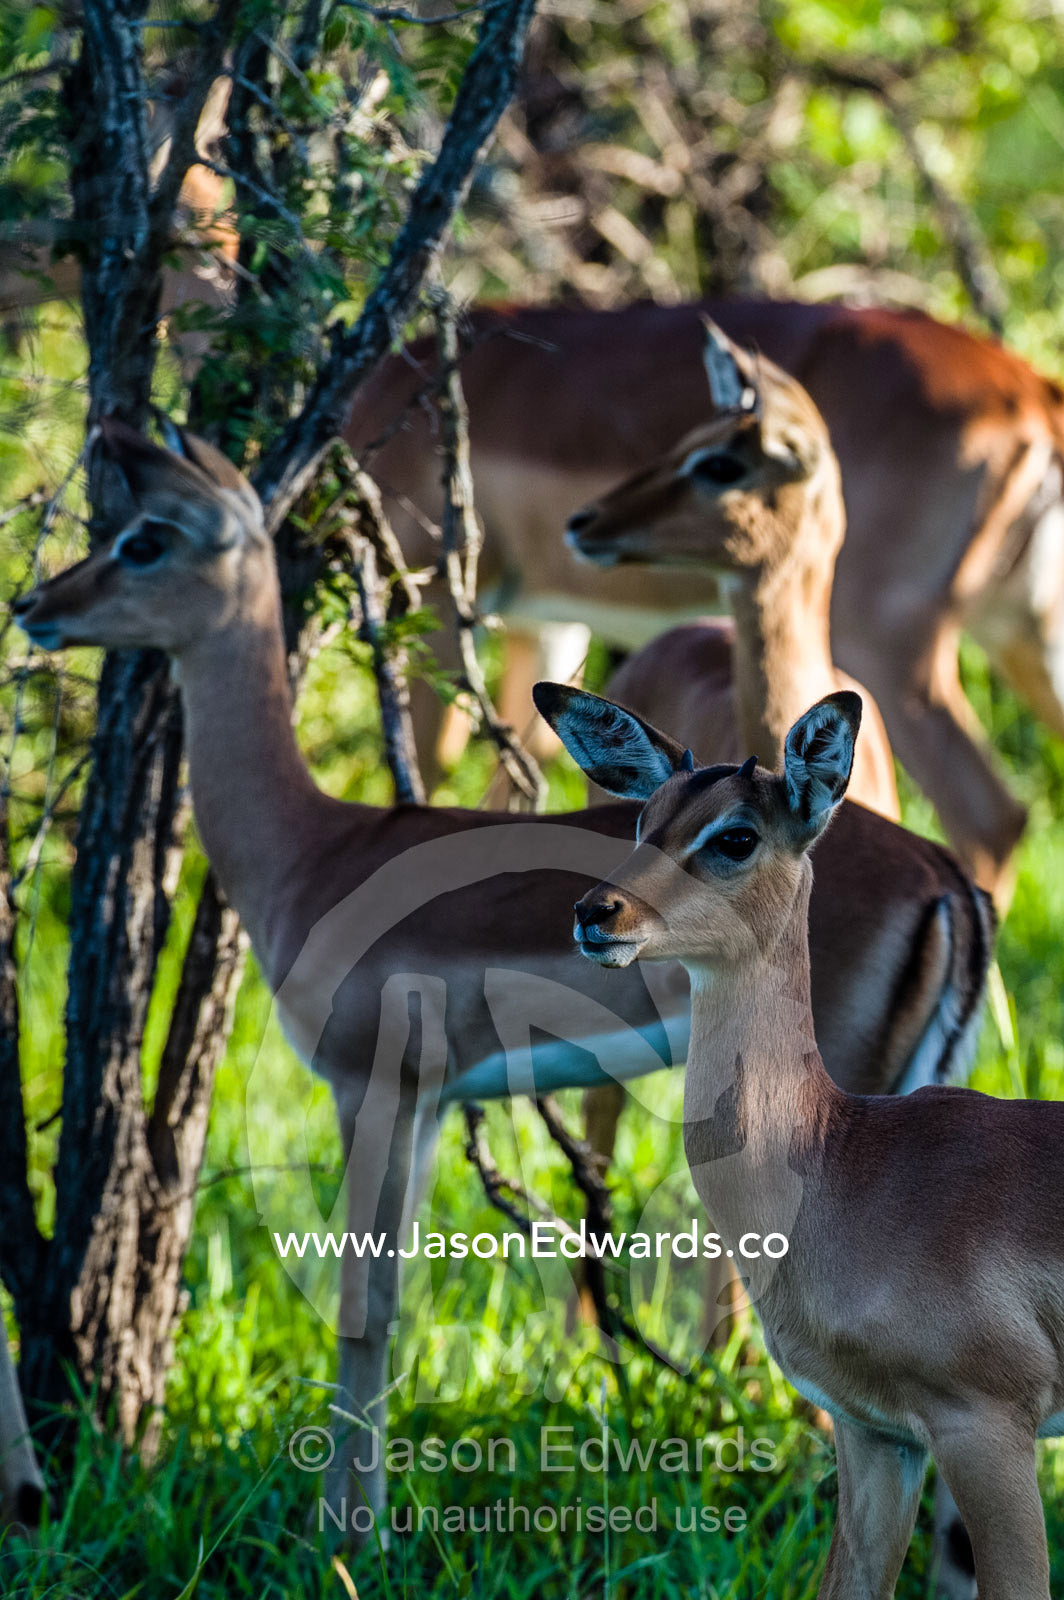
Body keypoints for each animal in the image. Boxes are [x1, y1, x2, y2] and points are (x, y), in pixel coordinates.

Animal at [11, 420, 990, 1539]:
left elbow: (364, 1304)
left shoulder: (372, 1087)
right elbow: (387, 1297)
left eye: (144, 538)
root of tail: (943, 875)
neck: (311, 849)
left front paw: (348, 1537)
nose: (35, 606)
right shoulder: (433, 1103)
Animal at [347, 299, 1064, 904]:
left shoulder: (437, 600)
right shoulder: (546, 626)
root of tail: (1032, 393)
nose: (585, 523)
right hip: (1027, 636)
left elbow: (430, 767)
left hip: (895, 648)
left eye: (720, 465)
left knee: (986, 814)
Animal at [536, 681, 1061, 1600]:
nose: (596, 913)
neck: (843, 1161)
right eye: (646, 820)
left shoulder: (989, 1428)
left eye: (736, 836)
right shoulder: (877, 1434)